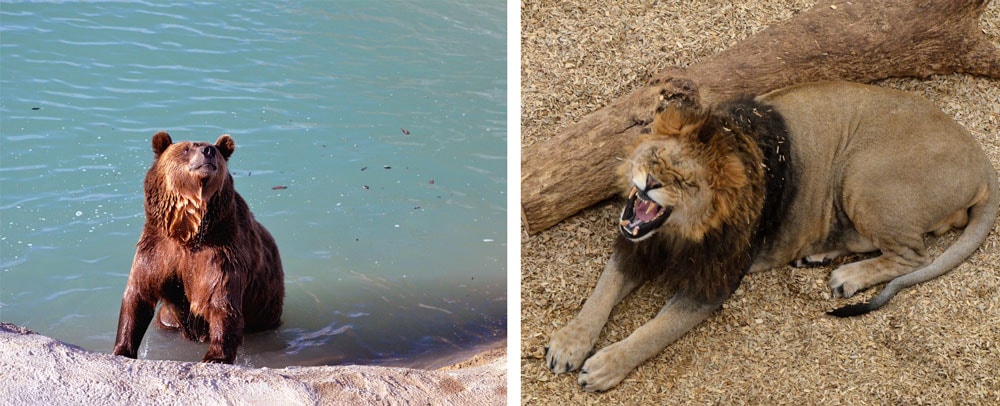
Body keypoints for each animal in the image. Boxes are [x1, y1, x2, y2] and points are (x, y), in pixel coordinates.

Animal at [114, 132, 286, 364]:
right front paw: (122, 349)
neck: (186, 231)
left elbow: (221, 302)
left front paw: (216, 356)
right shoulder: (157, 249)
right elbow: (138, 295)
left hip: (264, 310)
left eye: (214, 148)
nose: (208, 151)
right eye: (186, 149)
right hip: (168, 319)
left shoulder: (222, 251)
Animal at [548, 81, 1000, 390]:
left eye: (687, 182)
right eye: (655, 159)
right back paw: (819, 255)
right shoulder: (635, 244)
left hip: (864, 173)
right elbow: (602, 292)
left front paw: (605, 366)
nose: (650, 183)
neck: (679, 234)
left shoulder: (713, 284)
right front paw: (568, 344)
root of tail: (983, 162)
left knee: (914, 255)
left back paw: (847, 276)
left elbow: (654, 332)